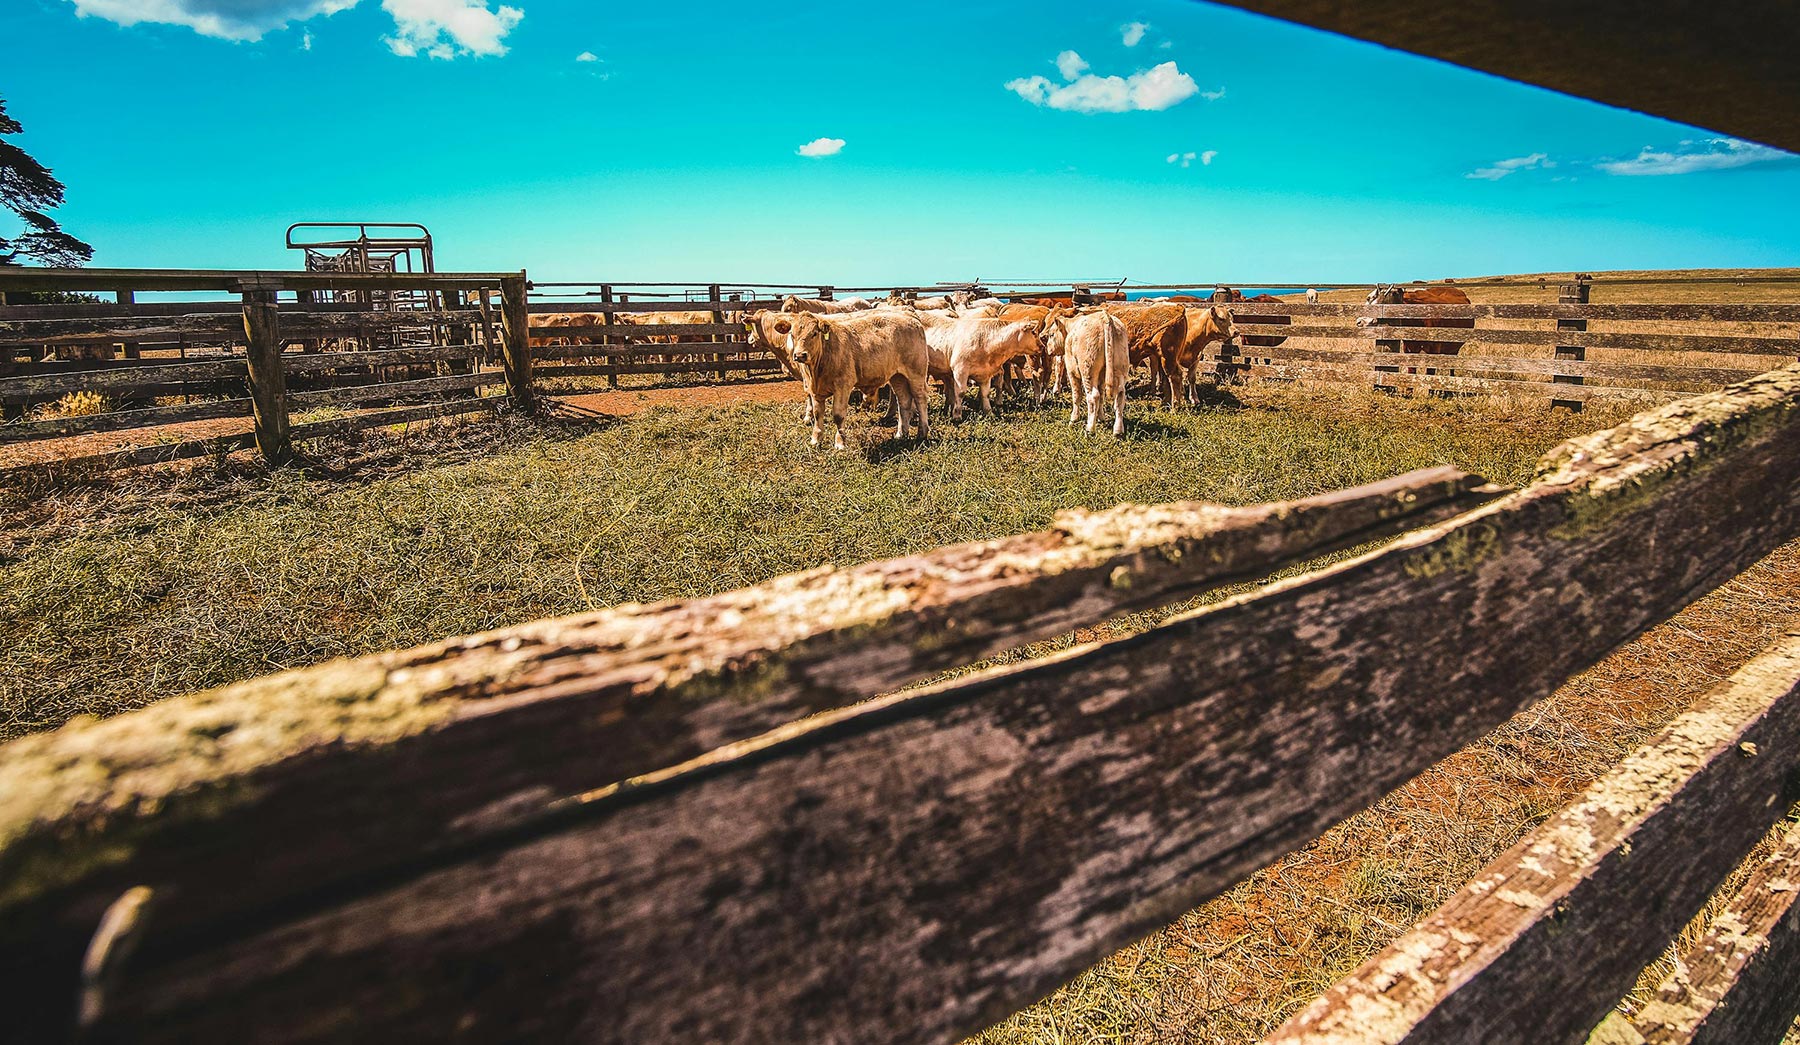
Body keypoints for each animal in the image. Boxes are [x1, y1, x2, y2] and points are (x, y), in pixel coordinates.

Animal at [784, 310, 932, 449]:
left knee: (920, 398)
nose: (800, 355)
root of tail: (911, 318)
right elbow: (817, 414)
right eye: (792, 334)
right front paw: (815, 440)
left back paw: (922, 432)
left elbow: (838, 415)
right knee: (903, 401)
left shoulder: (842, 386)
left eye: (814, 333)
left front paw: (840, 443)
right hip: (898, 377)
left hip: (917, 374)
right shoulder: (815, 391)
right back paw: (901, 434)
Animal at [1041, 307, 1129, 437]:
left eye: (1051, 334)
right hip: (1119, 368)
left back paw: (1090, 428)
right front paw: (1101, 418)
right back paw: (1118, 430)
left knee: (1093, 396)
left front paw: (1074, 419)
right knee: (1119, 396)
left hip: (1087, 370)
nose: (1048, 348)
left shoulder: (1072, 371)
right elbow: (1102, 395)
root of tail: (1105, 317)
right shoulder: (1101, 376)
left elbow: (1077, 395)